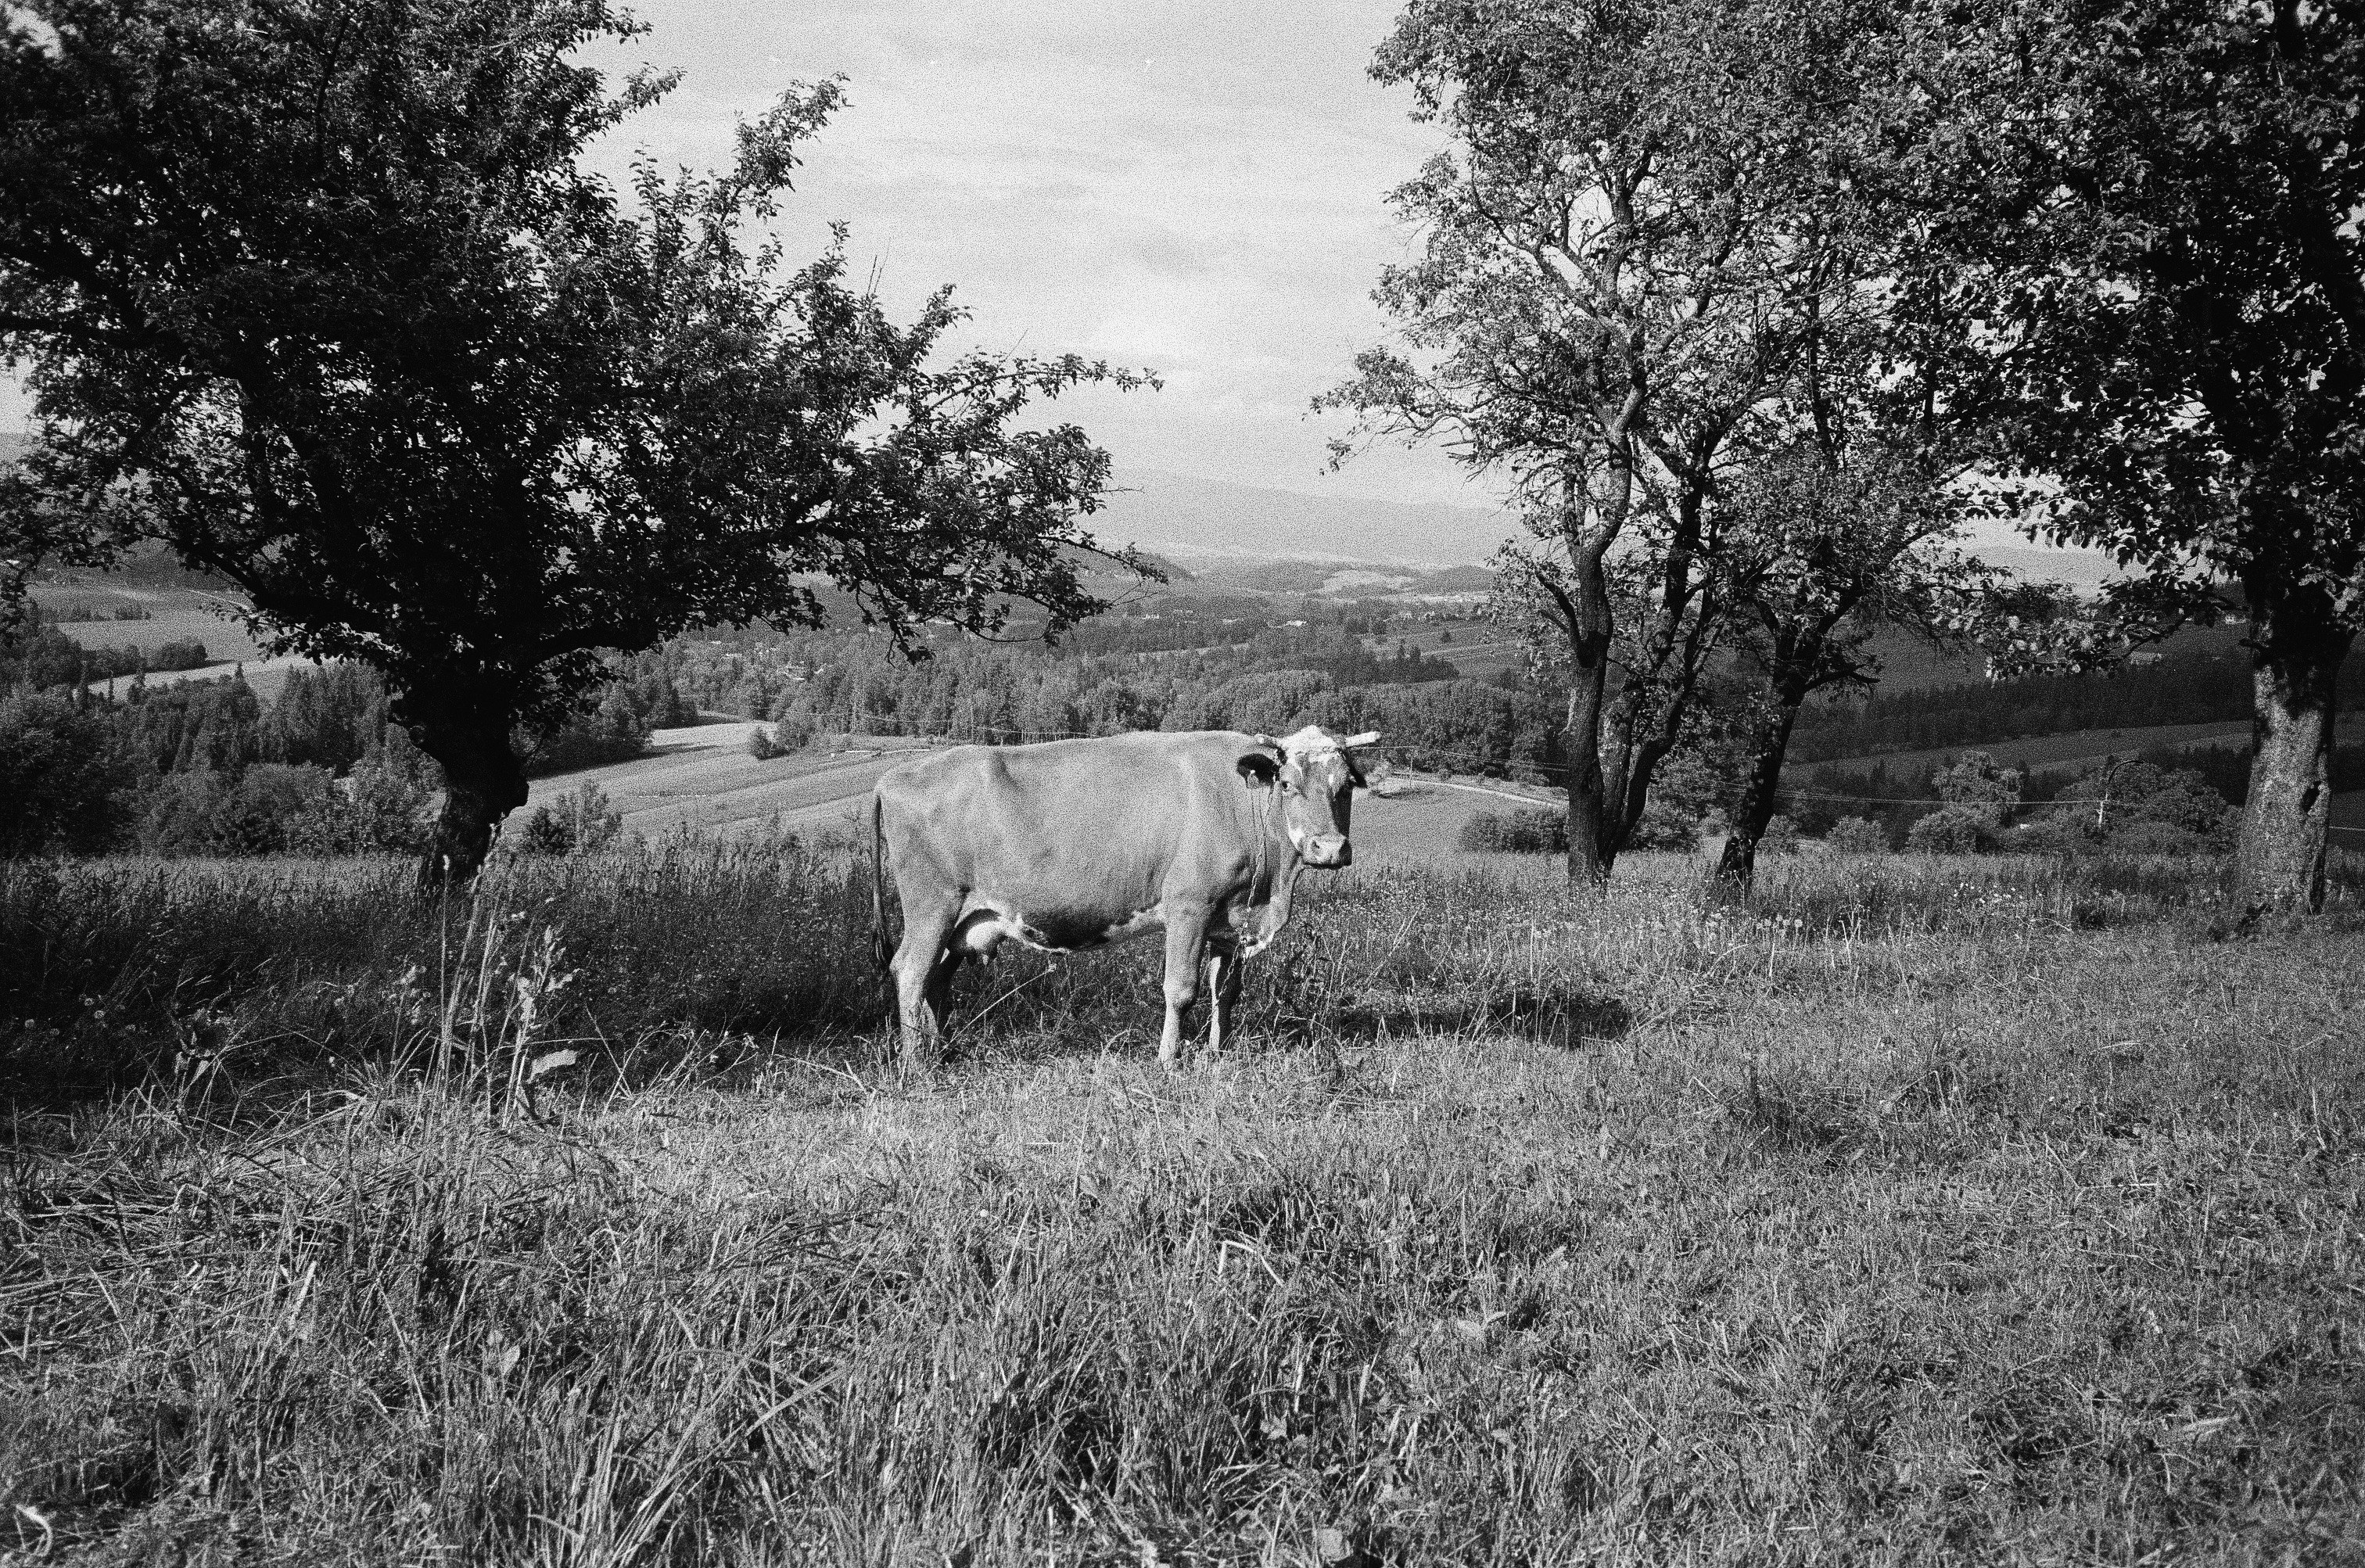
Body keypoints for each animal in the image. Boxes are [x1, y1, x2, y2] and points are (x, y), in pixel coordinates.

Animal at [869, 724, 1381, 1066]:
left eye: (1345, 787)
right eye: (1289, 784)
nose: (1329, 849)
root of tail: (894, 776)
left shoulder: (1231, 920)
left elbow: (1227, 990)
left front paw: (1218, 1051)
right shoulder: (1189, 906)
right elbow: (1181, 989)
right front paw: (1169, 1059)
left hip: (962, 921)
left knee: (936, 982)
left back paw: (942, 1050)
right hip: (932, 908)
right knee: (910, 972)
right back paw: (917, 1063)